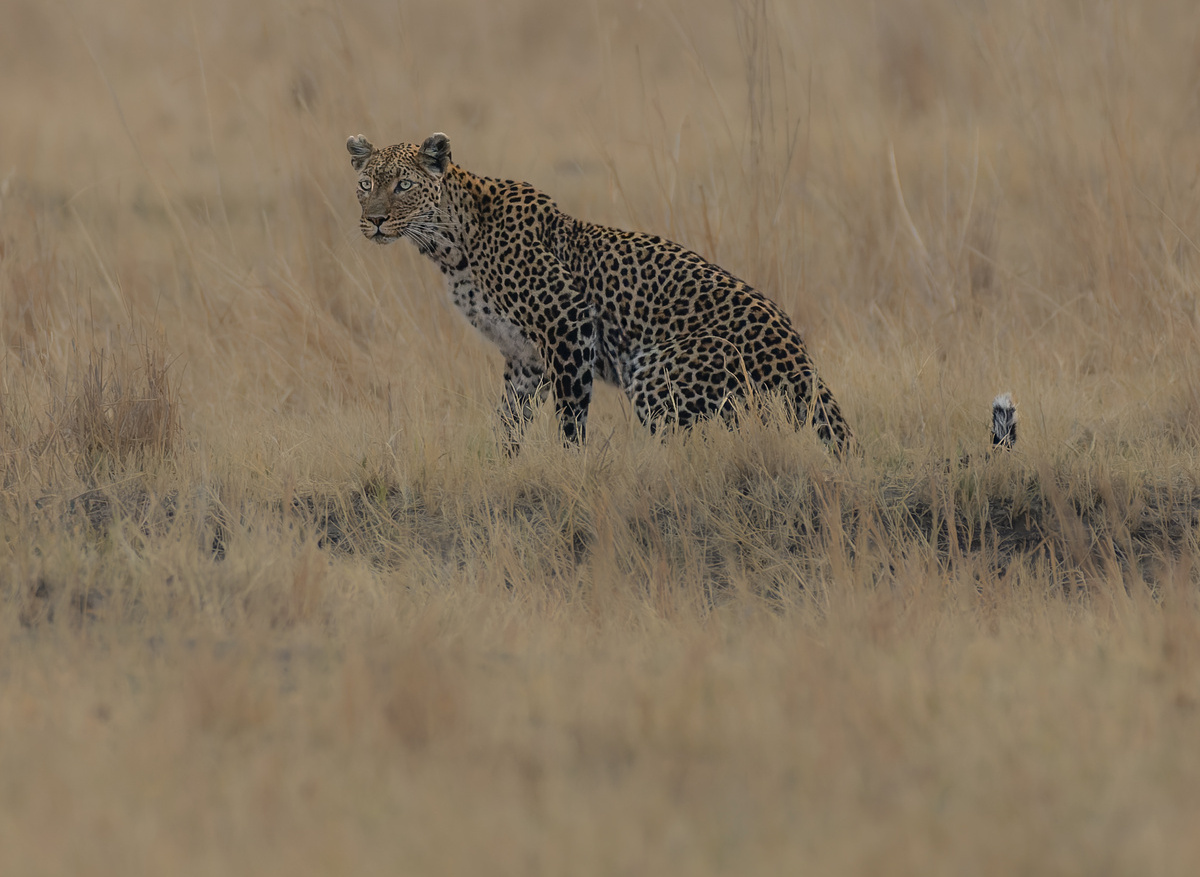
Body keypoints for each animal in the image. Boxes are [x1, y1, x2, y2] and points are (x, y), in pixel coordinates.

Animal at [347, 131, 852, 454]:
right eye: (365, 185)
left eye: (404, 185)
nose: (374, 220)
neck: (449, 245)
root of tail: (803, 362)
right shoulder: (524, 355)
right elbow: (509, 419)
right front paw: (501, 464)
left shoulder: (567, 322)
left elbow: (570, 415)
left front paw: (573, 469)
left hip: (654, 372)